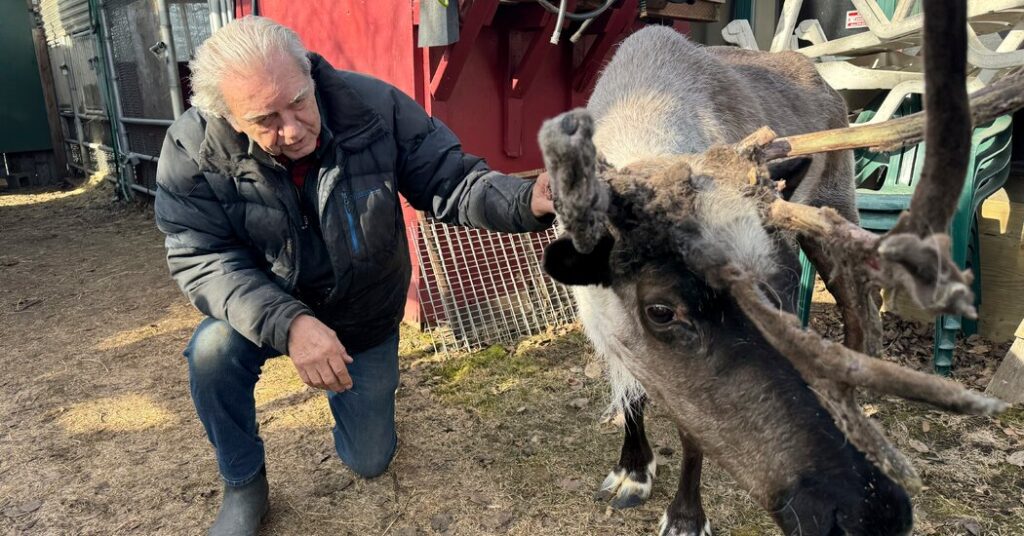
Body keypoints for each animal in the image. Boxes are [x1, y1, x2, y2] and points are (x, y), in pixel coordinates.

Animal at [538, 0, 1021, 534]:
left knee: (862, 309)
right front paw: (633, 468)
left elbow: (692, 432)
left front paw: (685, 515)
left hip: (836, 215)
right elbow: (632, 396)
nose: (871, 512)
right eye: (662, 310)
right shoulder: (603, 318)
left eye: (780, 288)